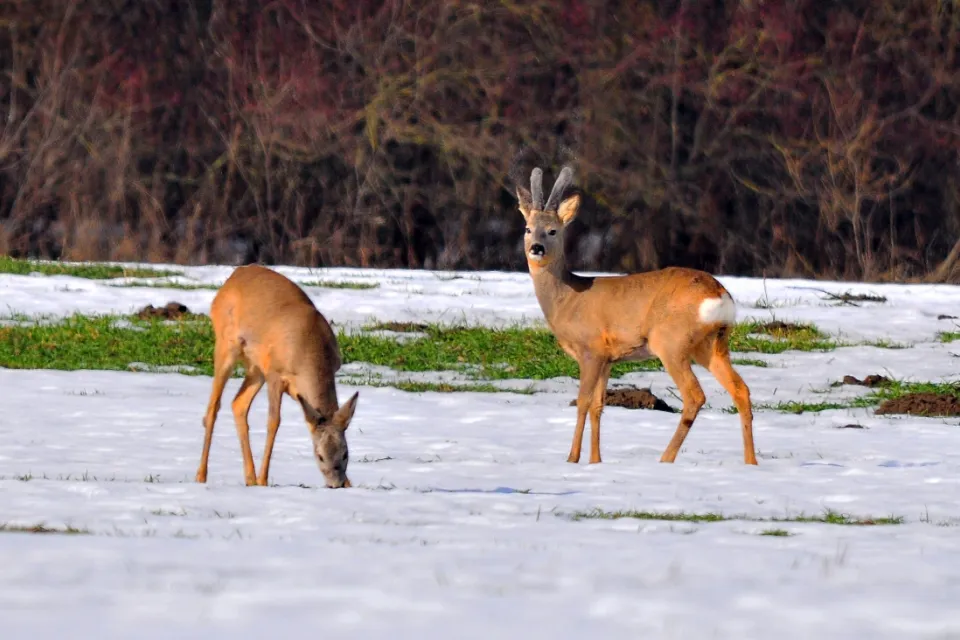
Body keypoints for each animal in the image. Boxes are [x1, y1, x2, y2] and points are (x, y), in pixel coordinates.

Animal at [195, 264, 360, 488]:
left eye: (345, 454)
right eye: (319, 456)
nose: (336, 484)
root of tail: (234, 275)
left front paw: (351, 485)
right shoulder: (275, 374)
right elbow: (274, 422)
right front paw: (263, 480)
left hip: (256, 367)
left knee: (238, 403)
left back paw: (249, 478)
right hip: (226, 346)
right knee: (213, 408)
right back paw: (201, 476)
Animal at [515, 166, 757, 466]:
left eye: (553, 230)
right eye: (528, 228)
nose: (536, 248)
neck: (568, 299)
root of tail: (719, 293)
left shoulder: (591, 349)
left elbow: (583, 402)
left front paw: (572, 458)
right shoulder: (608, 358)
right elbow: (598, 405)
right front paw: (595, 461)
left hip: (671, 341)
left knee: (695, 396)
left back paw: (666, 458)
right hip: (713, 344)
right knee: (741, 389)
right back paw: (751, 462)